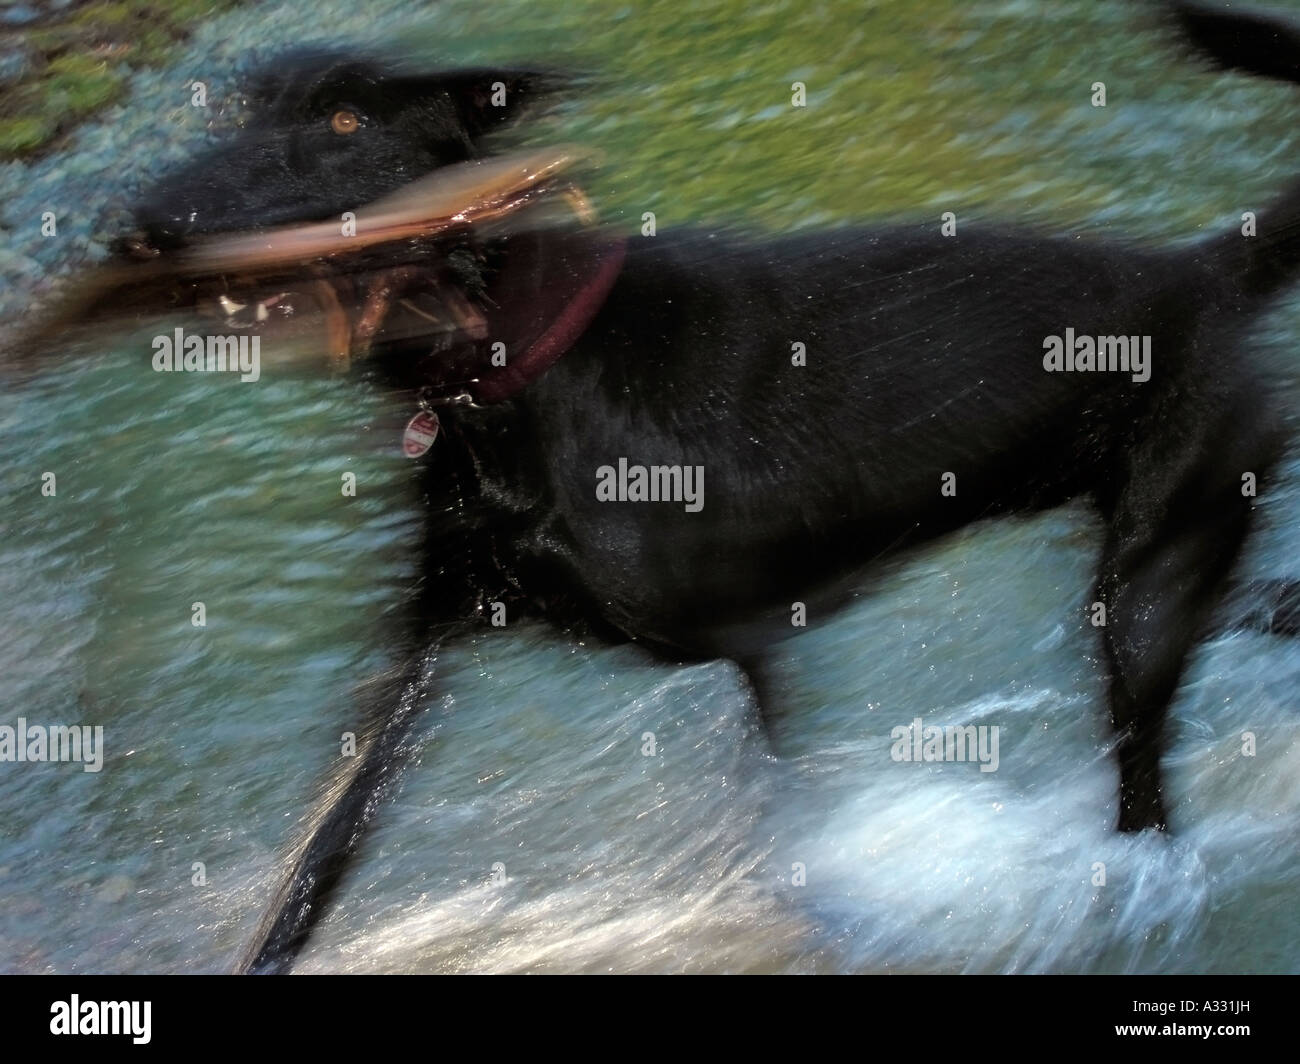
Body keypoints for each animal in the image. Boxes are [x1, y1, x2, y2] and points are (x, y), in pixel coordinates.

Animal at [94, 0, 1300, 967]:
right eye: (230, 116)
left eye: (344, 124)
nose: (141, 225)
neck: (512, 374)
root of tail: (1203, 270)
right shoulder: (417, 656)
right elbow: (320, 856)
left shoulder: (751, 642)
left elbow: (781, 824)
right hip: (1158, 555)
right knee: (1243, 610)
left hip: (1142, 594)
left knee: (1146, 793)